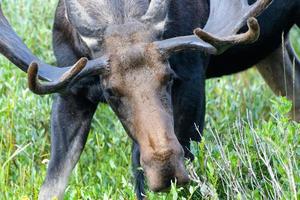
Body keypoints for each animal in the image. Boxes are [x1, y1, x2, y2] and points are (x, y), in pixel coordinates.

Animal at [0, 0, 298, 200]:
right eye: (110, 91)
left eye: (169, 77)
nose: (166, 170)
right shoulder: (70, 92)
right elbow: (52, 185)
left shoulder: (192, 77)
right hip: (272, 48)